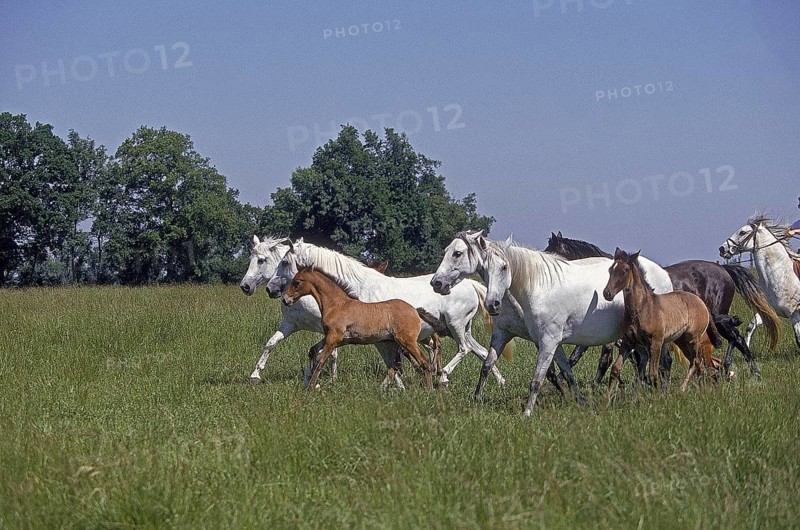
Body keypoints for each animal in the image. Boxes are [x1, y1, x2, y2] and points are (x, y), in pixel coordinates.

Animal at [282, 268, 433, 390]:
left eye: (296, 282)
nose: (285, 299)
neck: (336, 305)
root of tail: (414, 310)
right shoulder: (332, 338)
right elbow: (312, 350)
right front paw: (309, 382)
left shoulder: (333, 338)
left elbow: (320, 361)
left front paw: (311, 387)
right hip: (391, 343)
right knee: (393, 367)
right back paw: (380, 389)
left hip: (407, 341)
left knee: (424, 362)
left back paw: (429, 390)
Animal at [433, 232, 673, 416]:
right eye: (486, 270)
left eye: (457, 253)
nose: (436, 282)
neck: (538, 288)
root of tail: (662, 274)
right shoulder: (512, 335)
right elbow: (489, 365)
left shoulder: (546, 341)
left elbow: (540, 377)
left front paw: (529, 412)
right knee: (642, 360)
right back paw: (637, 392)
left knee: (661, 360)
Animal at [546, 231, 780, 377]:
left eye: (552, 251)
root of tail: (724, 269)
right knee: (734, 338)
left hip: (717, 317)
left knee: (737, 338)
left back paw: (750, 372)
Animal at [603, 248, 722, 394]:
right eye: (610, 269)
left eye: (625, 270)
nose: (607, 293)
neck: (642, 308)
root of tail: (701, 302)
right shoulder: (628, 342)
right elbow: (615, 369)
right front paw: (607, 397)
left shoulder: (656, 342)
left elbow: (653, 373)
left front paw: (658, 395)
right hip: (682, 340)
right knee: (695, 362)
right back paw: (692, 388)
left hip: (693, 339)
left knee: (698, 362)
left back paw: (694, 389)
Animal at [720, 215, 800, 350]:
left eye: (743, 232)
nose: (722, 248)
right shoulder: (769, 310)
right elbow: (750, 327)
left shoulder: (794, 314)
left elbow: (799, 340)